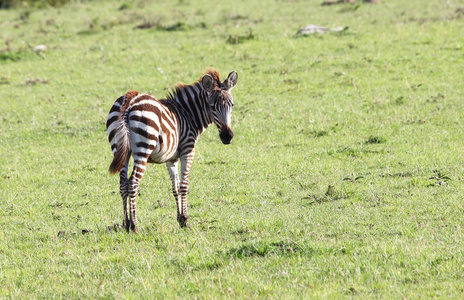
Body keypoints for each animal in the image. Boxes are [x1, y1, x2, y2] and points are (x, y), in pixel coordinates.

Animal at [106, 68, 237, 232]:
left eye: (231, 105)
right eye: (212, 106)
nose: (227, 137)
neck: (188, 113)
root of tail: (129, 100)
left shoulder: (171, 158)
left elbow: (175, 187)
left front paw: (180, 219)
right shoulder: (188, 150)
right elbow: (184, 186)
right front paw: (185, 220)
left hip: (121, 150)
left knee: (123, 183)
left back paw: (126, 223)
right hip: (143, 148)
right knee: (133, 183)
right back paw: (134, 225)